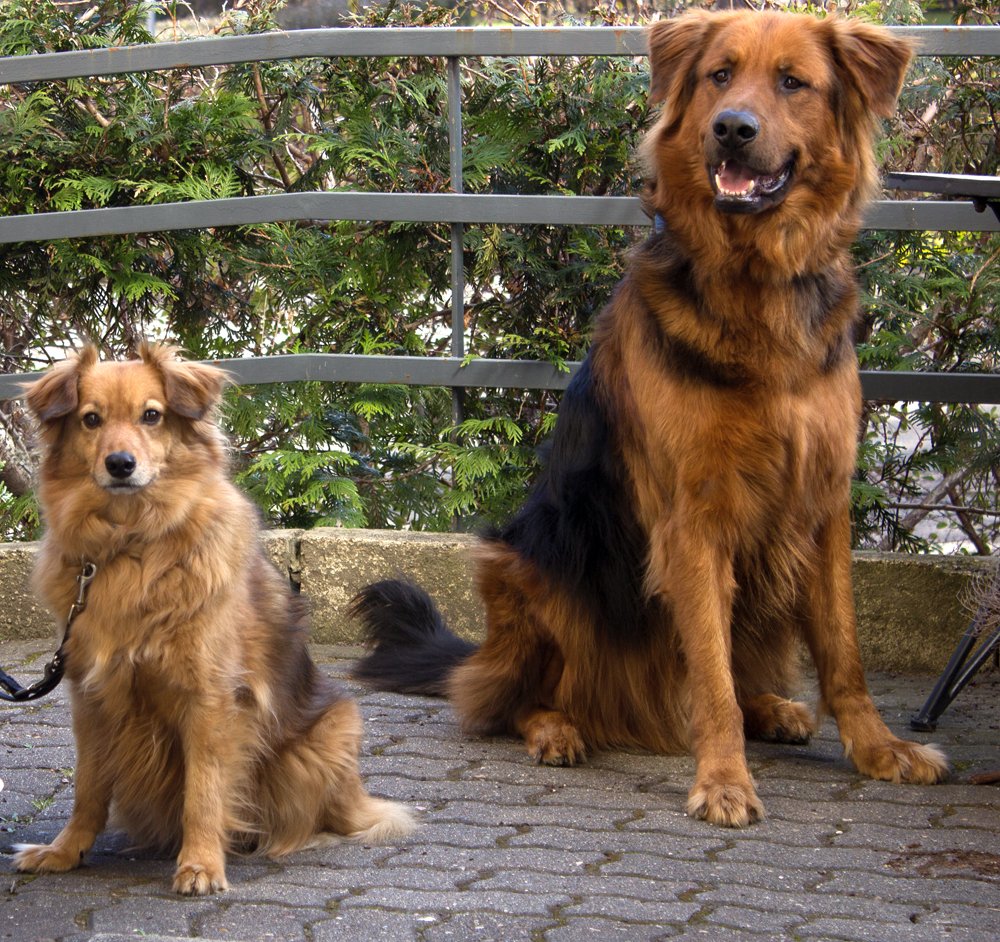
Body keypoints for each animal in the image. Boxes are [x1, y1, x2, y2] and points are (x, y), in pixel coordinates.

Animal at [12, 344, 410, 892]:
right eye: (91, 419)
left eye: (152, 415)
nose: (120, 464)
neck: (132, 547)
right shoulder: (91, 696)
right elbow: (88, 787)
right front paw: (65, 850)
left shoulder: (210, 698)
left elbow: (204, 791)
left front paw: (201, 863)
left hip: (327, 734)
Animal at [350, 11, 944, 828]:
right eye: (720, 75)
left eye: (794, 82)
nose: (732, 129)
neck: (754, 287)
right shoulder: (693, 518)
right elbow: (711, 673)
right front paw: (724, 779)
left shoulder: (823, 504)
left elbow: (843, 652)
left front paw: (879, 749)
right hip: (527, 572)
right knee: (504, 702)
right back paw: (559, 728)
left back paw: (773, 709)